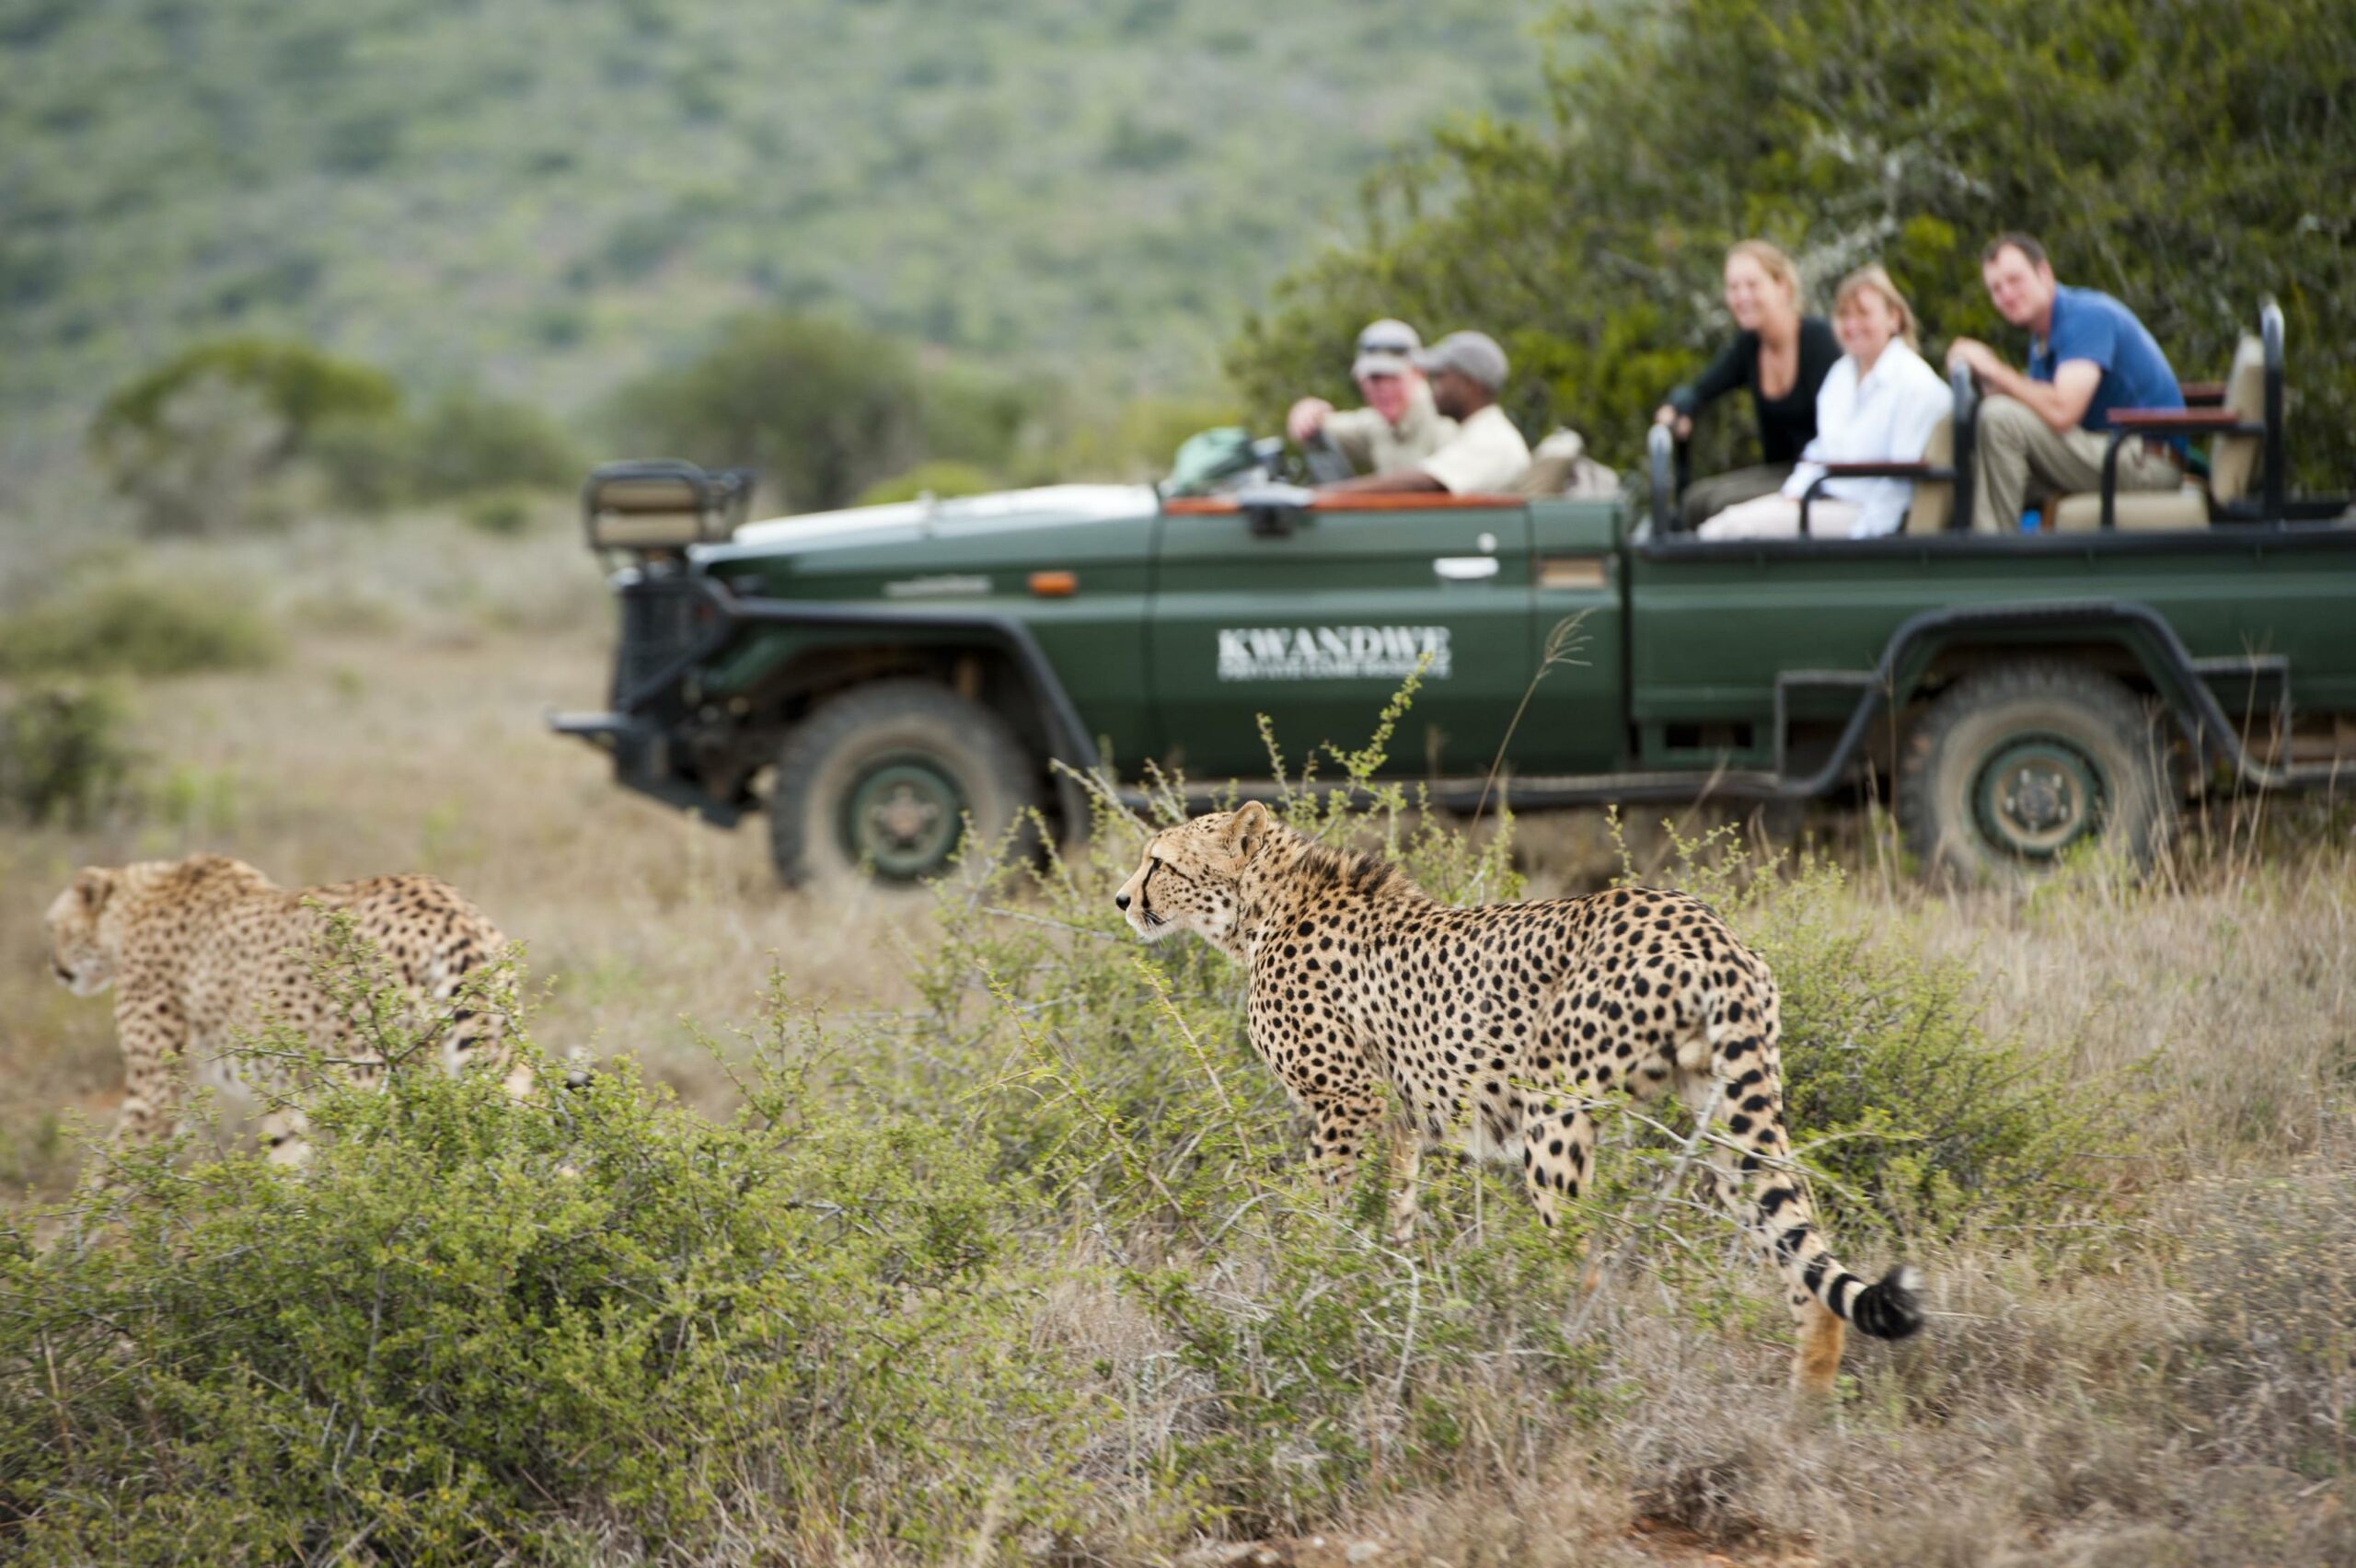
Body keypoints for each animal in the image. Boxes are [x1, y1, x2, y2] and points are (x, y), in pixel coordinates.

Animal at [42, 847, 530, 1168]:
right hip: (499, 1053)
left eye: (52, 926)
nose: (54, 967)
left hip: (367, 1076)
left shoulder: (154, 1094)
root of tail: (446, 905)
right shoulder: (282, 1092)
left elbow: (109, 1177)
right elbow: (286, 1159)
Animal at [1112, 805, 1922, 1393]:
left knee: (1579, 1257)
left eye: (1161, 862)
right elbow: (1393, 1224)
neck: (1264, 909)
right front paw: (1377, 1301)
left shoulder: (1346, 1104)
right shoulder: (1398, 1123)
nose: (1122, 898)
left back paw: (1547, 1354)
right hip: (1727, 1113)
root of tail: (1702, 923)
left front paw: (1312, 1291)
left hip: (1552, 1108)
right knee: (1800, 1254)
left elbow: (1328, 1215)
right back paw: (1803, 1416)